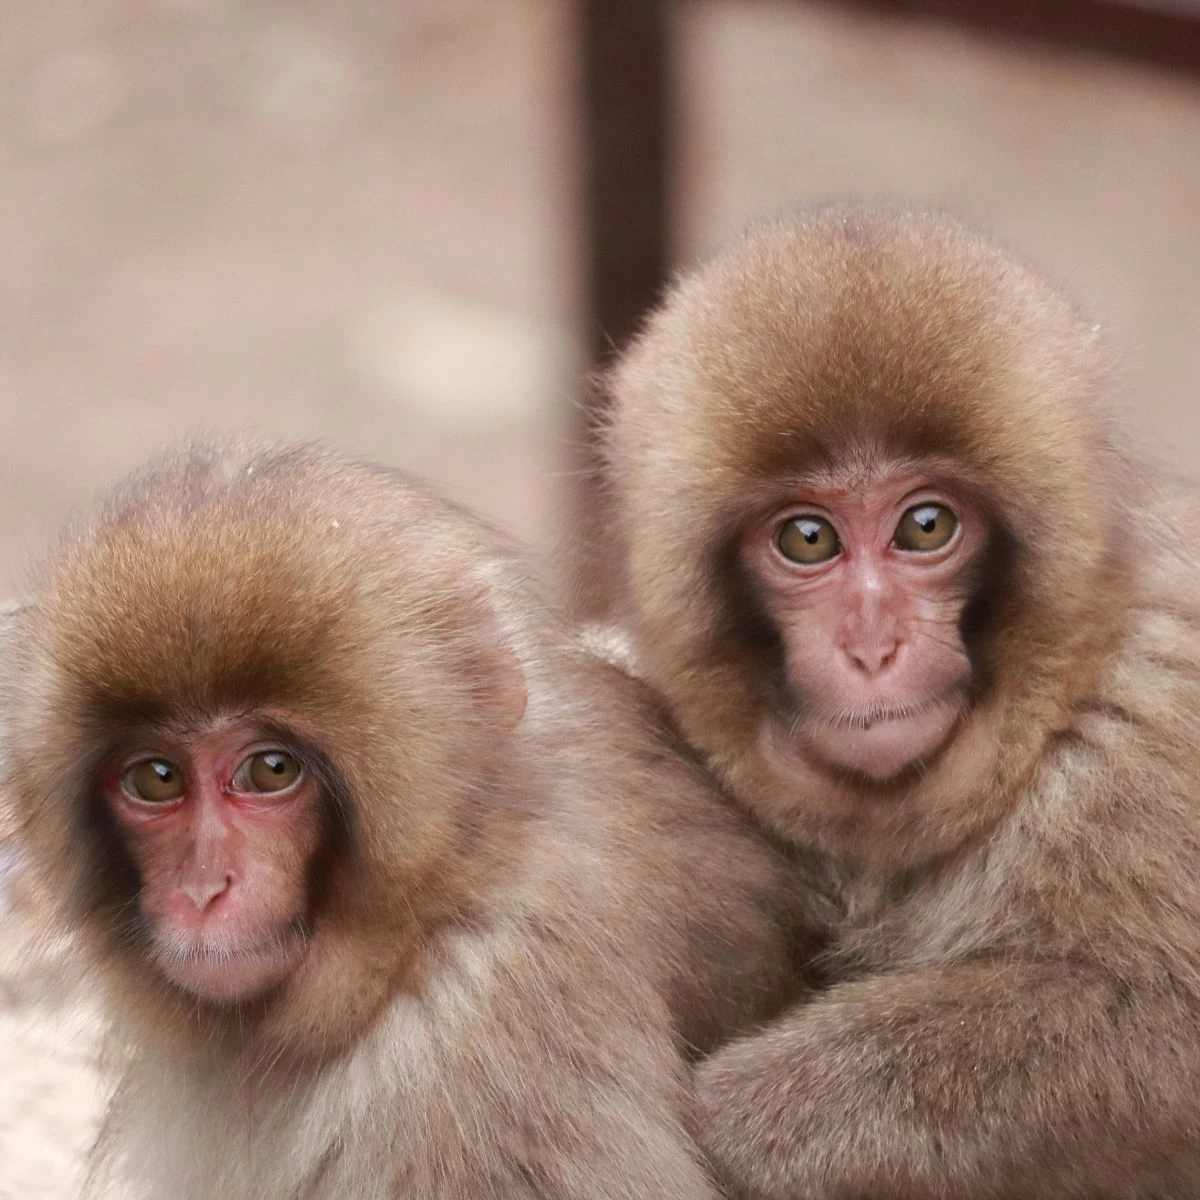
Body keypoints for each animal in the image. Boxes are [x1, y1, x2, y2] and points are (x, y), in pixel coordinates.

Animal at [600, 208, 1200, 1200]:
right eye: (808, 539)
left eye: (926, 526)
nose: (873, 647)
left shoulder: (1152, 711)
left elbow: (1169, 1027)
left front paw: (745, 1123)